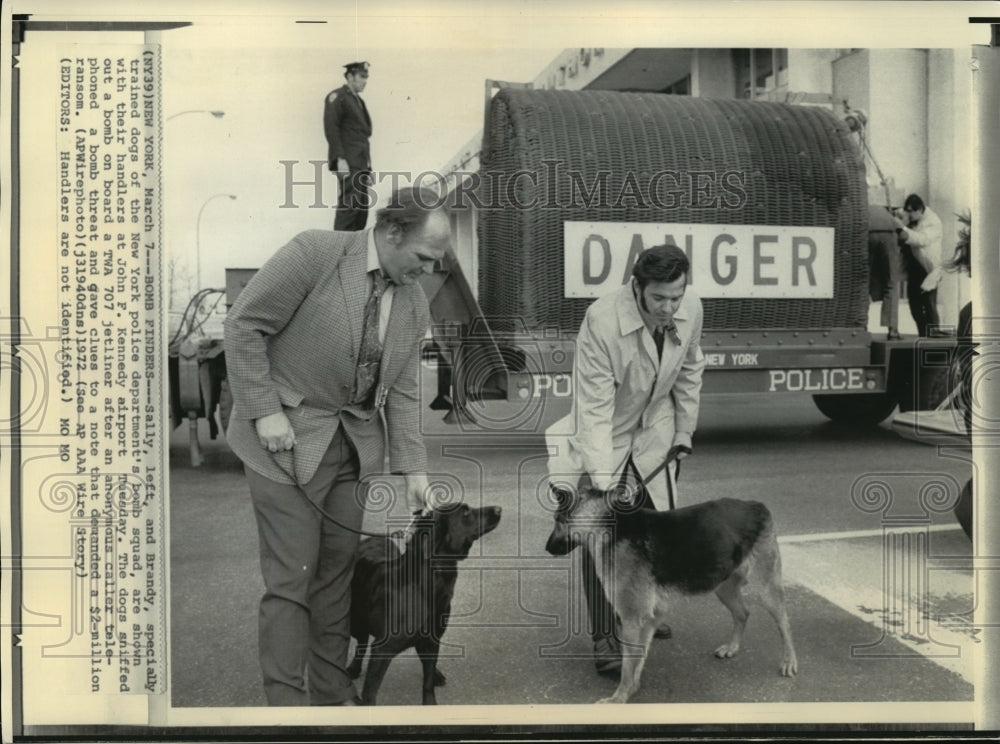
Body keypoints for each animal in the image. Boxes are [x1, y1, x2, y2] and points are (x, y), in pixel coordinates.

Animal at [350, 502, 504, 708]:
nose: (499, 509)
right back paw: (353, 668)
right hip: (355, 621)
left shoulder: (432, 638)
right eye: (465, 512)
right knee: (361, 641)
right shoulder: (383, 649)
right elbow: (370, 692)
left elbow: (428, 680)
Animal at [548, 488, 796, 704]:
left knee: (784, 623)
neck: (605, 522)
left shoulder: (632, 619)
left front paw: (618, 698)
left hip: (766, 590)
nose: (546, 548)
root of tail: (756, 506)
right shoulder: (649, 619)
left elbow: (628, 665)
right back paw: (732, 647)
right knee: (743, 613)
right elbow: (637, 660)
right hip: (723, 589)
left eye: (557, 520)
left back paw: (789, 661)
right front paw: (632, 690)